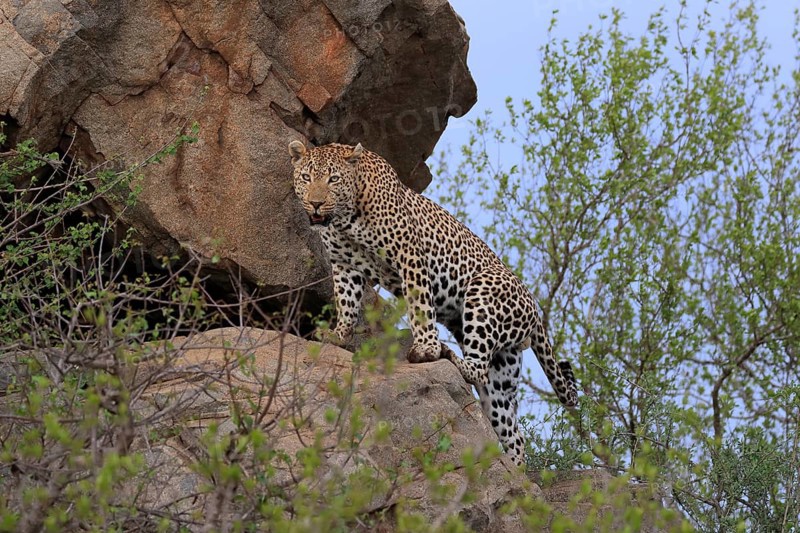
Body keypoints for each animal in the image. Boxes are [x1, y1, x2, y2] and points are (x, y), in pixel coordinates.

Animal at [289, 140, 579, 466]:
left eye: (333, 180)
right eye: (306, 178)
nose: (315, 204)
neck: (345, 220)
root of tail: (534, 308)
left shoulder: (409, 255)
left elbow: (419, 307)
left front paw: (425, 348)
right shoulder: (343, 265)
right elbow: (346, 302)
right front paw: (339, 335)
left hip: (483, 293)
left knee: (476, 368)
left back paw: (445, 352)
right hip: (502, 371)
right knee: (511, 429)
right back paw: (516, 475)